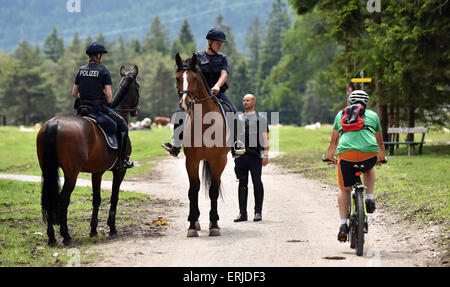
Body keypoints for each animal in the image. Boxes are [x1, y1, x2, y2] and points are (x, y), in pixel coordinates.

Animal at [35, 66, 139, 246]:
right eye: (138, 87)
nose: (135, 111)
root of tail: (54, 124)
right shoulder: (119, 171)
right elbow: (114, 196)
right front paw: (112, 228)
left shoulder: (97, 172)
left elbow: (96, 198)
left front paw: (93, 229)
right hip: (71, 174)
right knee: (63, 199)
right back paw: (66, 235)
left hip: (47, 170)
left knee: (48, 198)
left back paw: (52, 237)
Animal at [174, 53, 230, 237]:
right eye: (178, 78)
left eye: (195, 78)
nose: (184, 103)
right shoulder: (191, 160)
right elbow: (193, 190)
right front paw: (192, 224)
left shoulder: (219, 160)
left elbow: (213, 190)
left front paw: (214, 224)